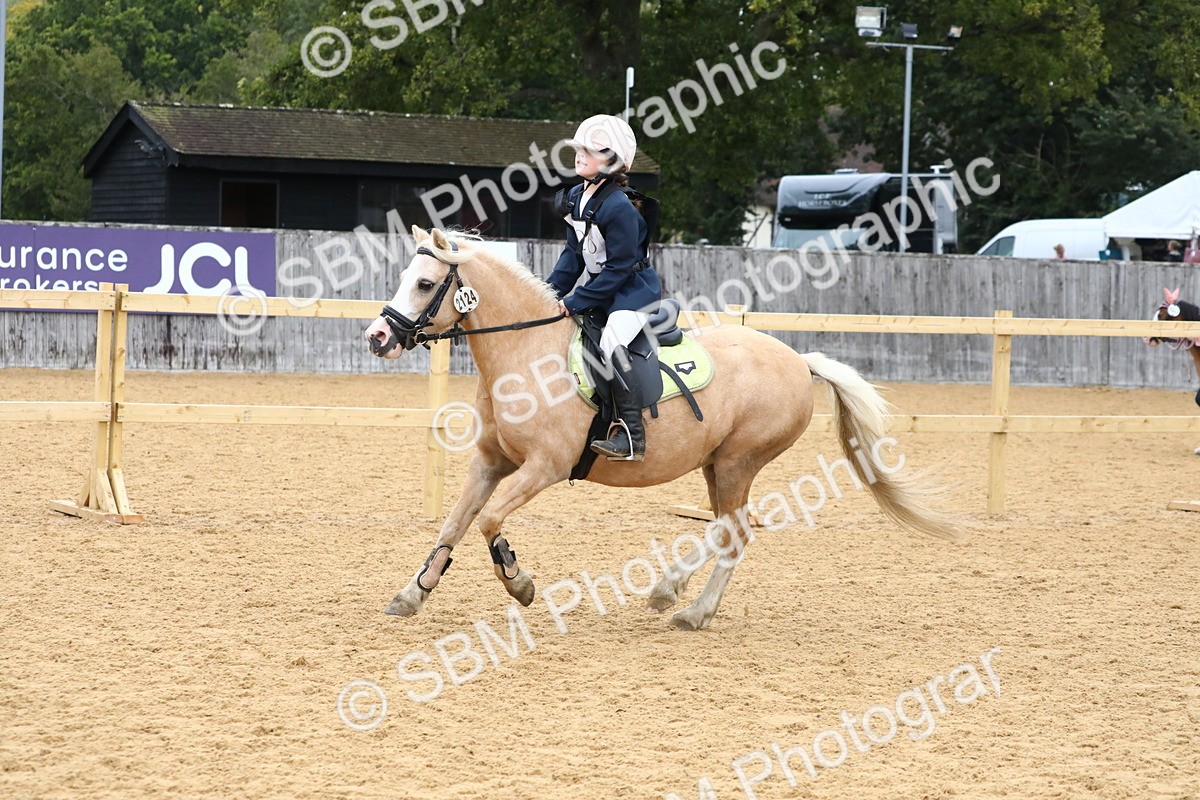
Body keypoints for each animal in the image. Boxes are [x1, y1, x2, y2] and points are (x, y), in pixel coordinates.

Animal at [363, 227, 958, 631]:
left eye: (424, 283)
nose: (377, 337)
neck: (526, 352)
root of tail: (798, 360)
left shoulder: (544, 468)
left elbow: (488, 521)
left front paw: (520, 584)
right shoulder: (492, 462)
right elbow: (454, 523)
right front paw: (413, 594)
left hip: (739, 461)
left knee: (732, 530)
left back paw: (681, 603)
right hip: (718, 465)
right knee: (730, 530)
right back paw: (683, 600)